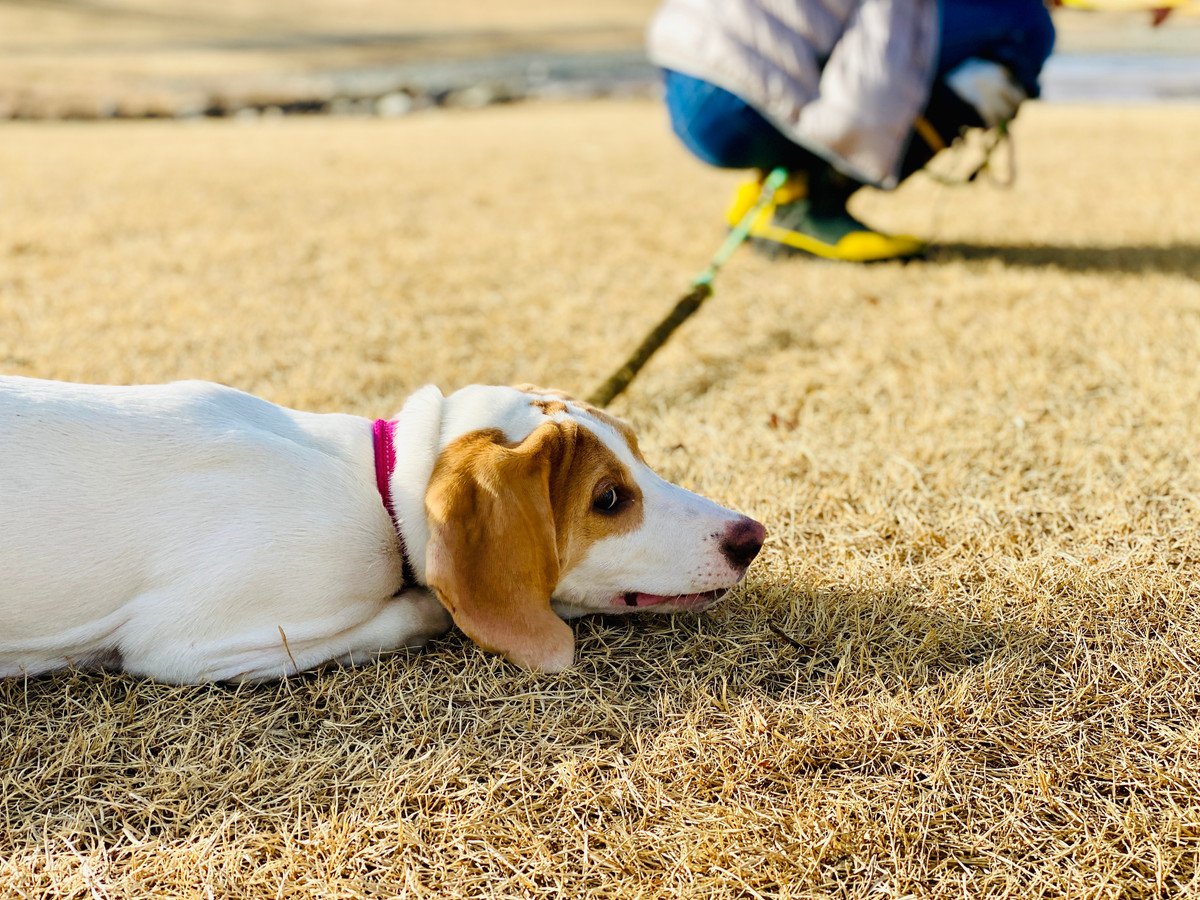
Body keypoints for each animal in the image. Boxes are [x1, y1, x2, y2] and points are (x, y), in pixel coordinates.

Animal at [0, 374, 763, 681]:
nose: (752, 537)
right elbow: (417, 610)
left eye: (641, 451)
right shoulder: (189, 645)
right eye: (607, 498)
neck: (377, 488)